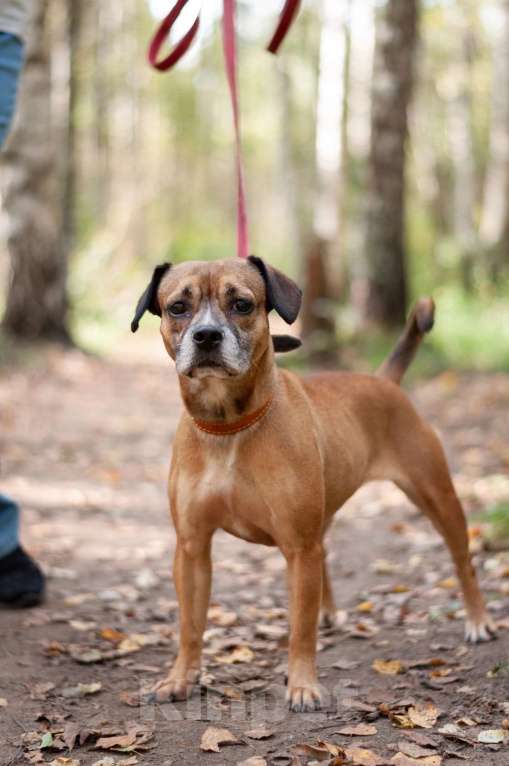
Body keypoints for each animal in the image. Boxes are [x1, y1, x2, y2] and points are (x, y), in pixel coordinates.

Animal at [130, 258, 492, 712]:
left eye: (242, 304)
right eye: (178, 307)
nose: (207, 335)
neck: (230, 425)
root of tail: (385, 381)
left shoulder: (298, 548)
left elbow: (300, 630)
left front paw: (302, 685)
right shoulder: (193, 548)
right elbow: (190, 624)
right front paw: (181, 678)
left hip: (437, 496)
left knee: (463, 562)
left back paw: (478, 620)